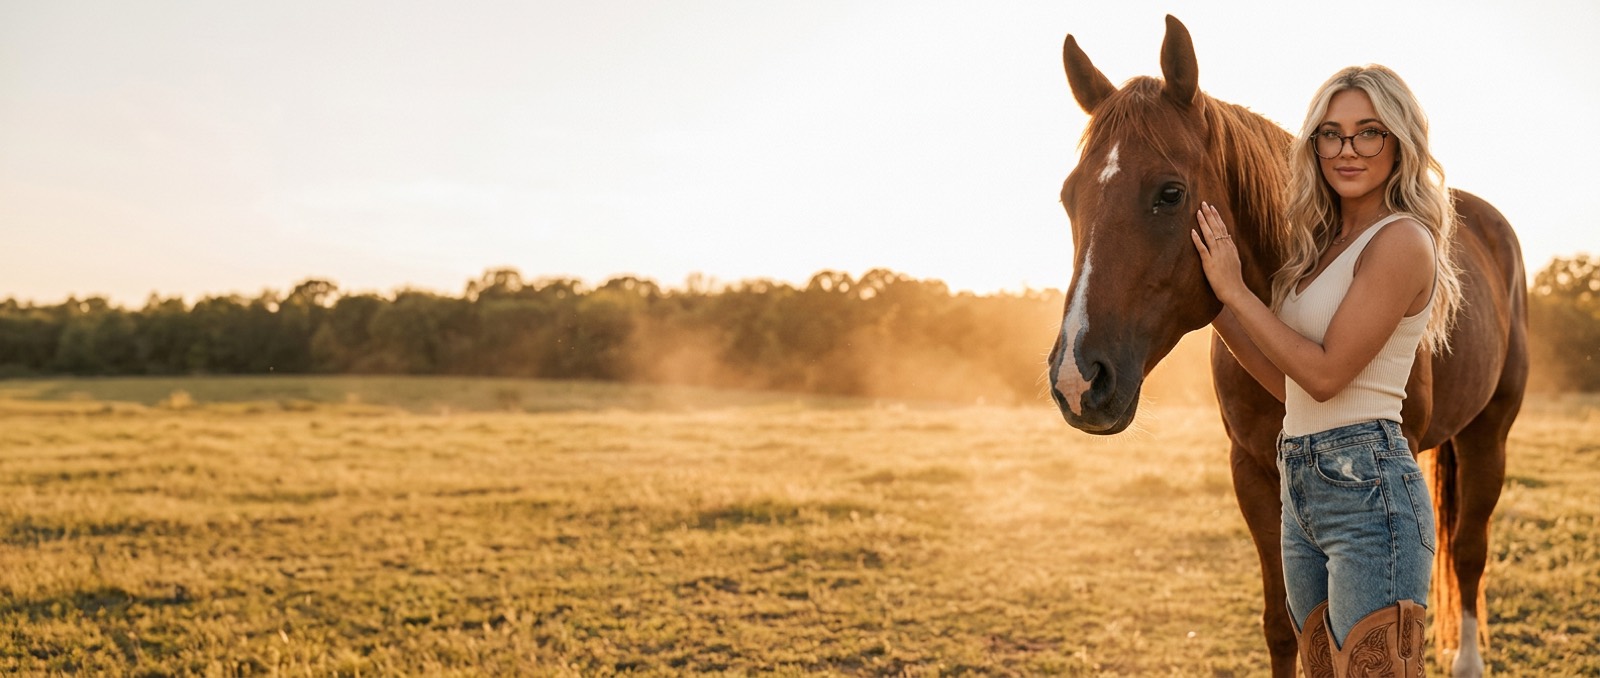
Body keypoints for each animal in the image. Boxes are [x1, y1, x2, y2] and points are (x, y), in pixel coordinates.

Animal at [1044, 16, 1527, 678]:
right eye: (1070, 197)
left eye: (1170, 193)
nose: (1077, 378)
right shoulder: (1252, 472)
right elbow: (1285, 626)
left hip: (1490, 432)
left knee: (1469, 549)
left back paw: (1469, 661)